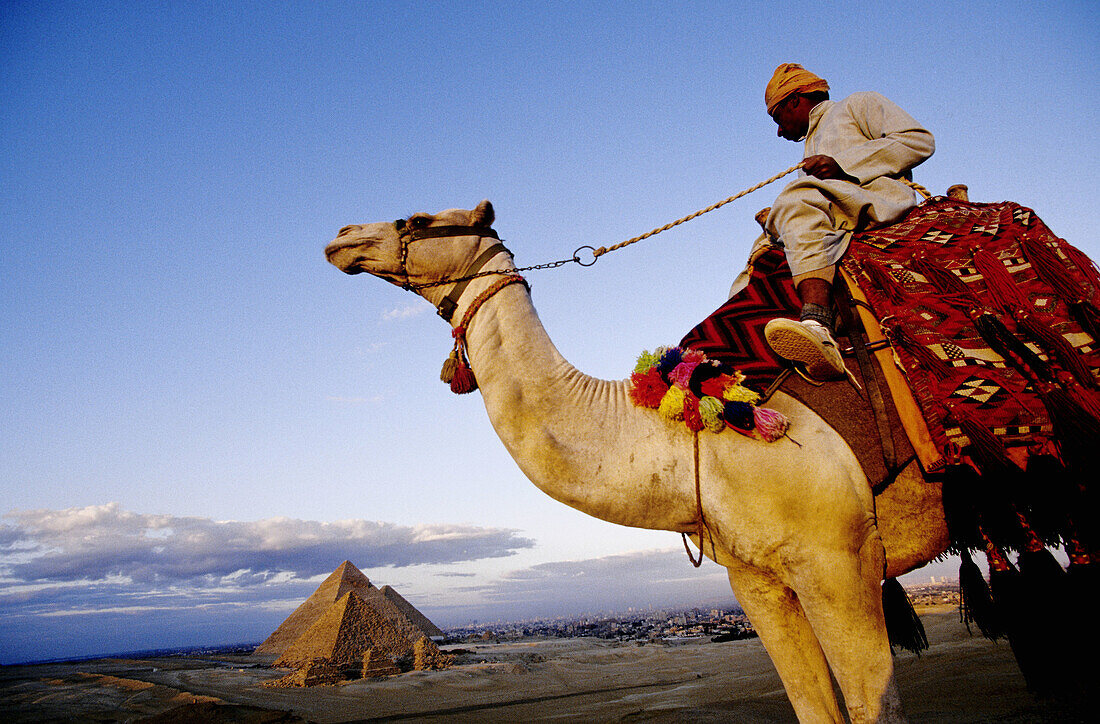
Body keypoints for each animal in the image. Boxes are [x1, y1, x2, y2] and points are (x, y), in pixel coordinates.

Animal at [321, 199, 950, 721]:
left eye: (417, 220)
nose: (342, 236)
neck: (679, 438)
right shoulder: (758, 581)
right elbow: (811, 702)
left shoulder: (837, 559)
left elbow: (871, 702)